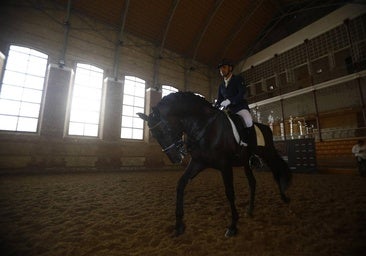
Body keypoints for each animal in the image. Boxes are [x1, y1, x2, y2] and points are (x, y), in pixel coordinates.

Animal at [137, 91, 292, 237]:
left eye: (166, 130)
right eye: (154, 135)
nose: (175, 158)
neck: (205, 127)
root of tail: (266, 127)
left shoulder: (225, 165)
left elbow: (230, 192)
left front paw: (233, 226)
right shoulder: (198, 163)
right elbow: (181, 184)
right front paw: (179, 225)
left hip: (268, 154)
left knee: (276, 171)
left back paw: (284, 197)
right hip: (246, 162)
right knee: (252, 182)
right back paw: (250, 210)